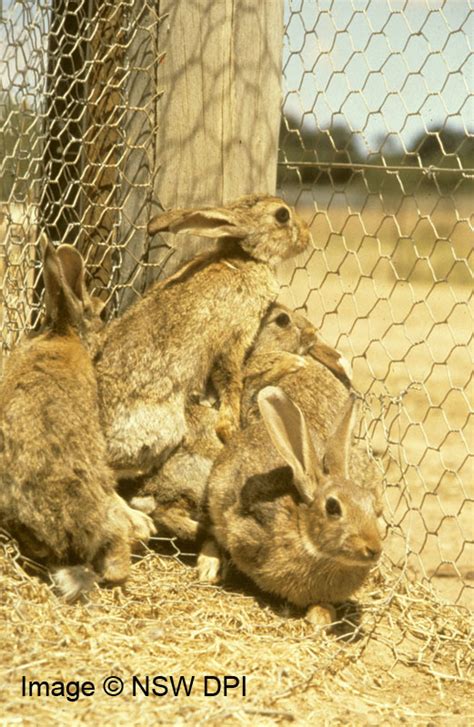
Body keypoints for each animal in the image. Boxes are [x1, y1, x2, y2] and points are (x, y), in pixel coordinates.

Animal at [95, 195, 312, 478]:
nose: (307, 235)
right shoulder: (233, 339)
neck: (243, 259)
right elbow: (232, 380)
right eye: (282, 215)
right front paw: (229, 429)